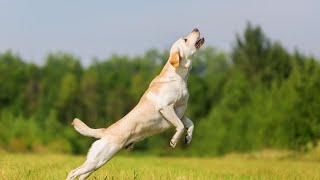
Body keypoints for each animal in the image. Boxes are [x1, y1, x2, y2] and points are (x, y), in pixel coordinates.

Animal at [66, 28, 205, 179]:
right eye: (185, 40)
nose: (196, 28)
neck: (179, 76)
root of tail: (105, 131)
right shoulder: (166, 107)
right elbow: (179, 126)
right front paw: (174, 141)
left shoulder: (180, 111)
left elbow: (190, 123)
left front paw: (188, 138)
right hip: (98, 159)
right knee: (73, 172)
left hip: (97, 163)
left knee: (81, 175)